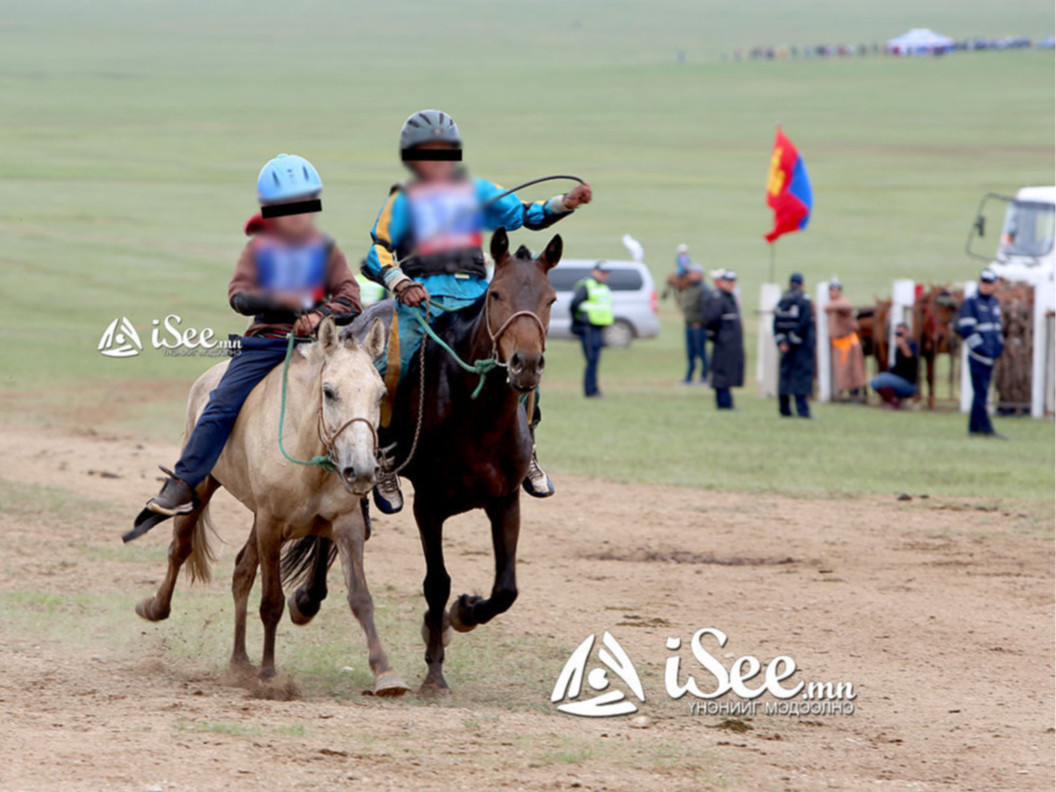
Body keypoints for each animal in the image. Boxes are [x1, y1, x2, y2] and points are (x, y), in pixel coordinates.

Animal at [280, 225, 561, 696]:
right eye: (497, 294)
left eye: (551, 298)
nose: (526, 365)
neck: (477, 413)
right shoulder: (429, 504)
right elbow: (437, 582)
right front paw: (435, 666)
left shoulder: (506, 501)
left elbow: (506, 589)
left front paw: (461, 615)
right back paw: (306, 599)